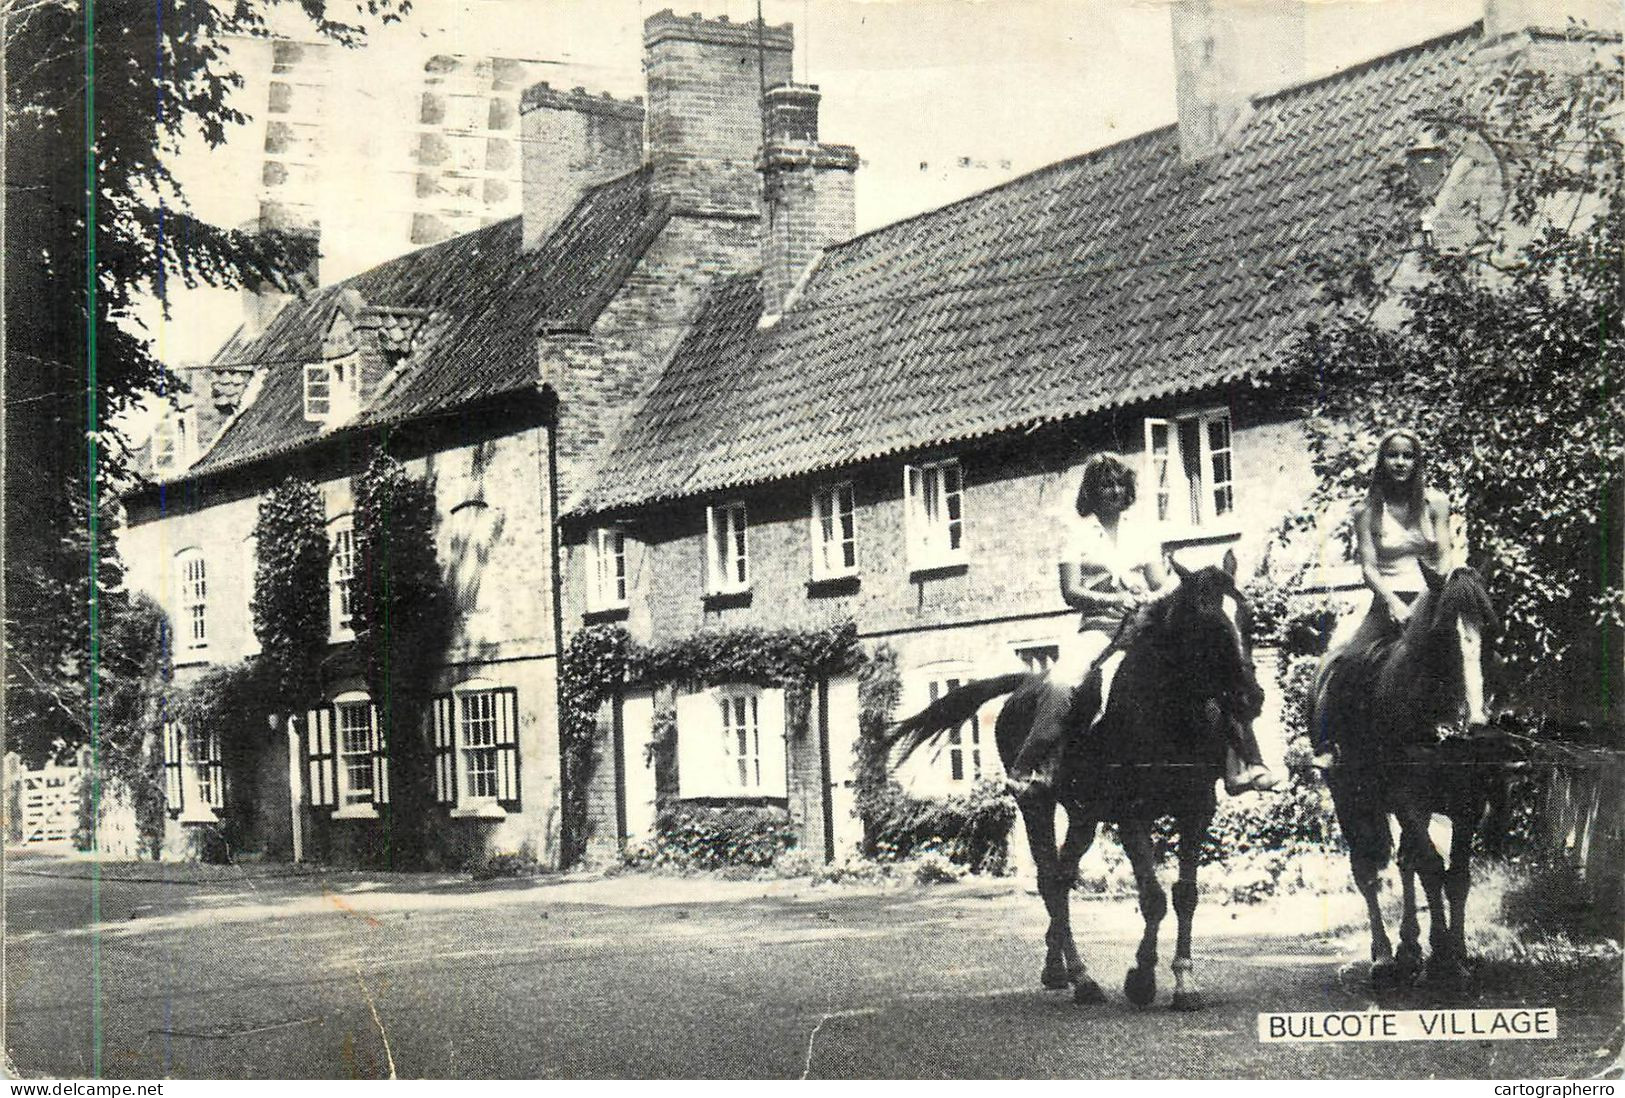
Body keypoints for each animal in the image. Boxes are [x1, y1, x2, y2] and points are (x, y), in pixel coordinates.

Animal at [884, 552, 1261, 1007]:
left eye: (1247, 617)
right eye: (1207, 623)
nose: (1251, 698)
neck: (1164, 710)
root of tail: (1028, 683)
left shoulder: (1197, 810)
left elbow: (1185, 896)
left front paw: (1185, 983)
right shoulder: (1130, 816)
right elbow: (1153, 898)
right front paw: (1141, 978)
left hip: (1083, 815)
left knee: (1063, 879)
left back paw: (1058, 969)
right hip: (1037, 804)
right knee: (1050, 881)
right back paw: (1082, 979)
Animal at [1306, 561, 1508, 981]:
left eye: (1492, 632)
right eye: (1441, 634)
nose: (1474, 724)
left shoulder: (1466, 806)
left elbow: (1456, 876)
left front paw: (1457, 955)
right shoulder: (1407, 801)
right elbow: (1431, 868)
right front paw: (1442, 956)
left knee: (1403, 861)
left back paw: (1410, 949)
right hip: (1349, 799)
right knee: (1367, 870)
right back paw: (1384, 956)